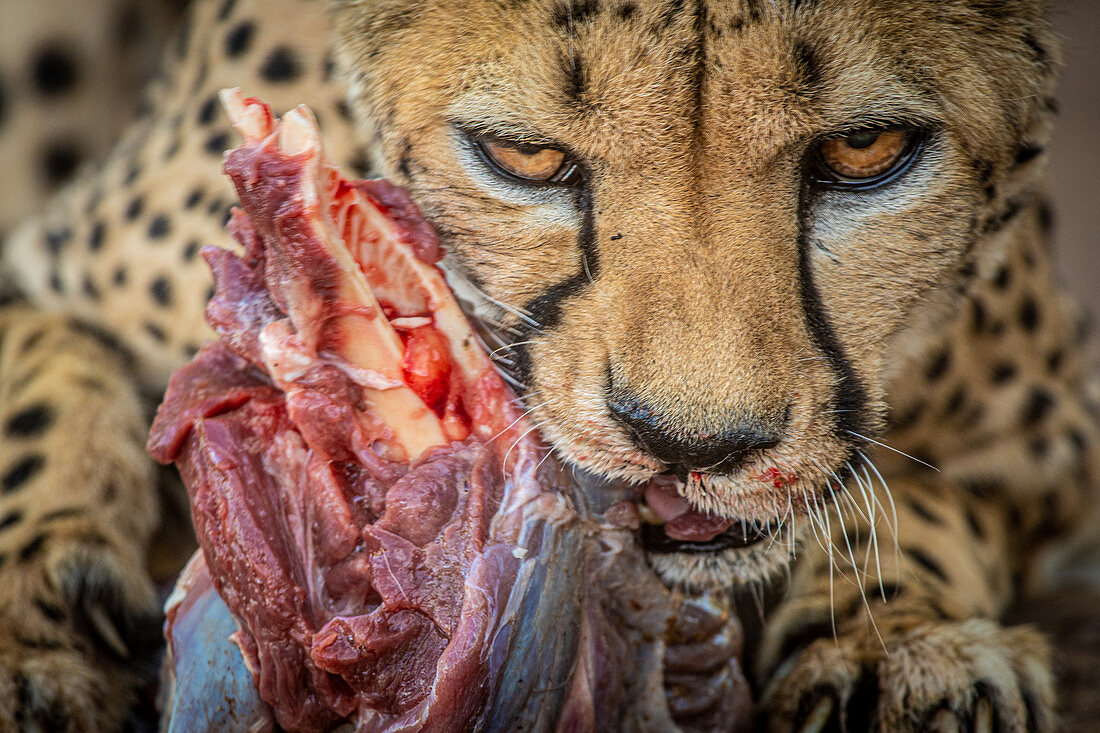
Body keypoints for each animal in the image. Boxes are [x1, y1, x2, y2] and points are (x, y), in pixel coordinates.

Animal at [0, 1, 1095, 730]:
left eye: (867, 147)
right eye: (522, 155)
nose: (691, 444)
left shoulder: (1044, 437)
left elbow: (920, 501)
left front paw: (897, 647)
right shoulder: (48, 279)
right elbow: (43, 390)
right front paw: (33, 643)